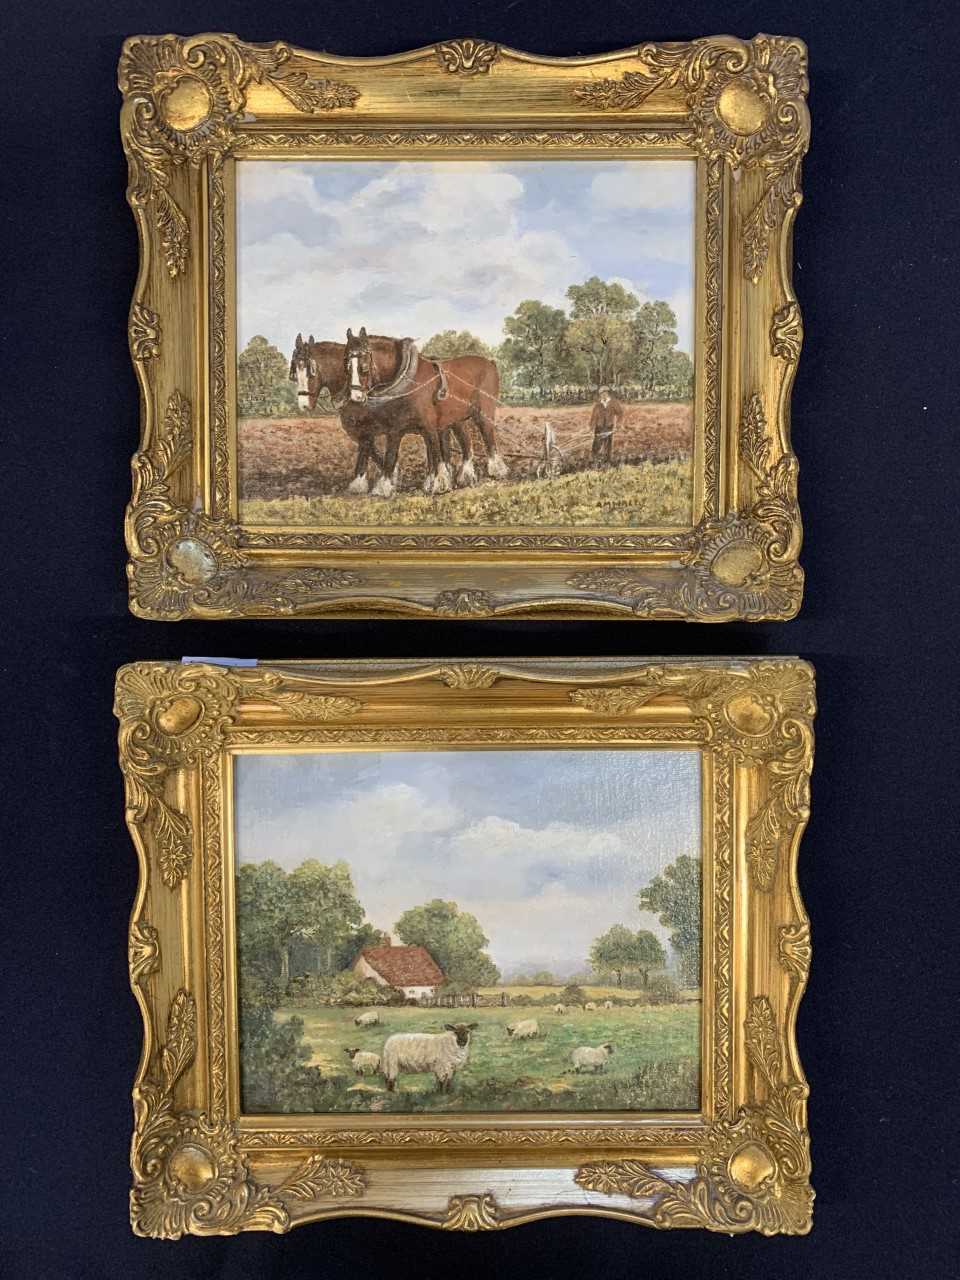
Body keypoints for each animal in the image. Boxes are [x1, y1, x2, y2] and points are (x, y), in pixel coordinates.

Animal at [289, 327, 506, 496]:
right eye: (346, 366)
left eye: (311, 371)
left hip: (483, 413)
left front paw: (428, 484)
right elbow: (373, 452)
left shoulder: (410, 426)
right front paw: (366, 483)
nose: (303, 405)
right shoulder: (377, 429)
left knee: (488, 437)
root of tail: (490, 362)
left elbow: (398, 453)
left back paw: (496, 470)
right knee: (465, 442)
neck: (405, 380)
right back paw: (465, 475)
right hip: (455, 419)